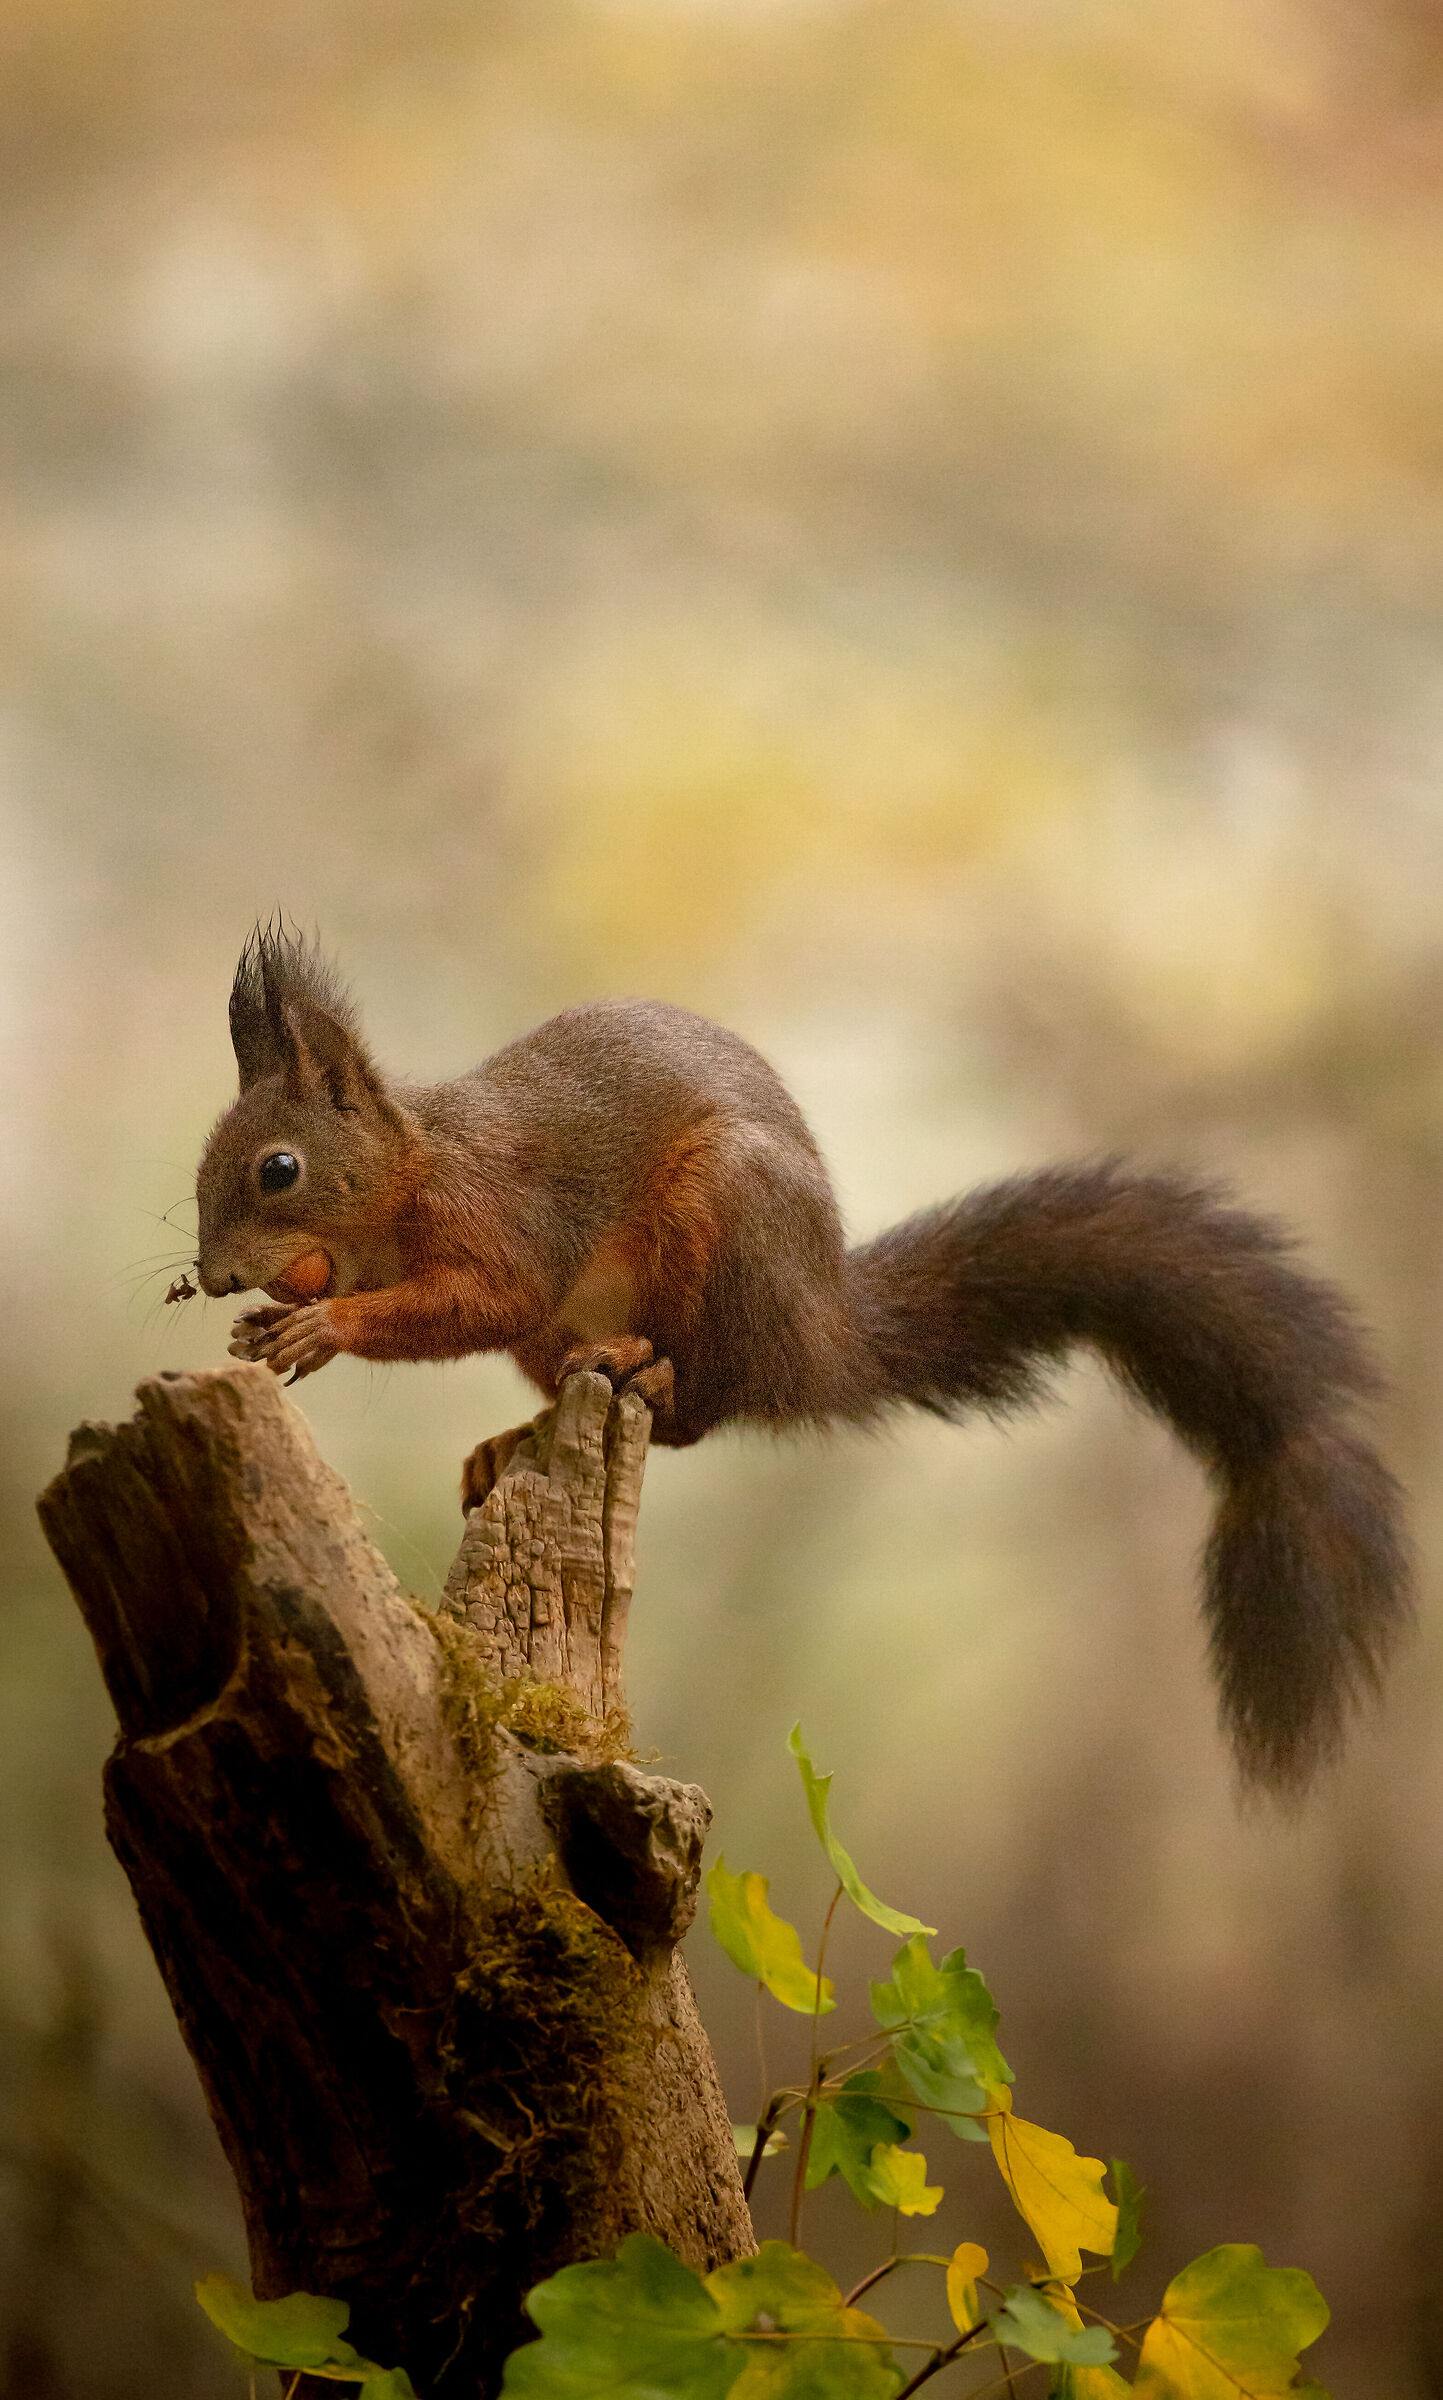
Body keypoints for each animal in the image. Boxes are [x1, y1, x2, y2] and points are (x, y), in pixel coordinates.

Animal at [194, 925, 1410, 1793]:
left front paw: (322, 1329)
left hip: (726, 1227)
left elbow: (485, 1298)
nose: (208, 1277)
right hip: (571, 1339)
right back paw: (520, 1435)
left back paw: (651, 1367)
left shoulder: (504, 1221)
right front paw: (271, 1328)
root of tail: (819, 1335)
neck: (409, 1175)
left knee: (706, 1408)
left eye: (278, 1169)